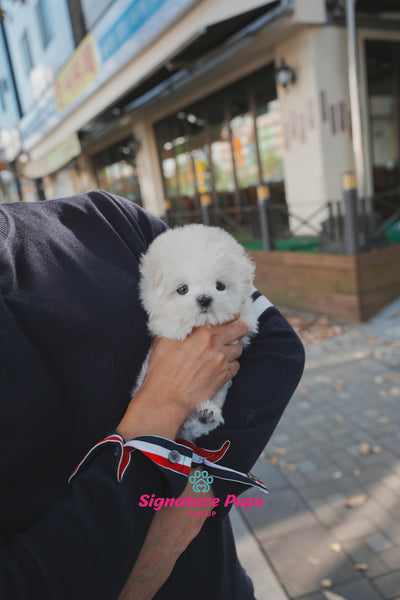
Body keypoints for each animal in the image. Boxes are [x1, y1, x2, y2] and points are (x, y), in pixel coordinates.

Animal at [130, 224, 258, 440]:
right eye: (182, 289)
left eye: (220, 286)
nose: (205, 298)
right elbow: (164, 320)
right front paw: (178, 327)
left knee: (194, 427)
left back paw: (206, 415)